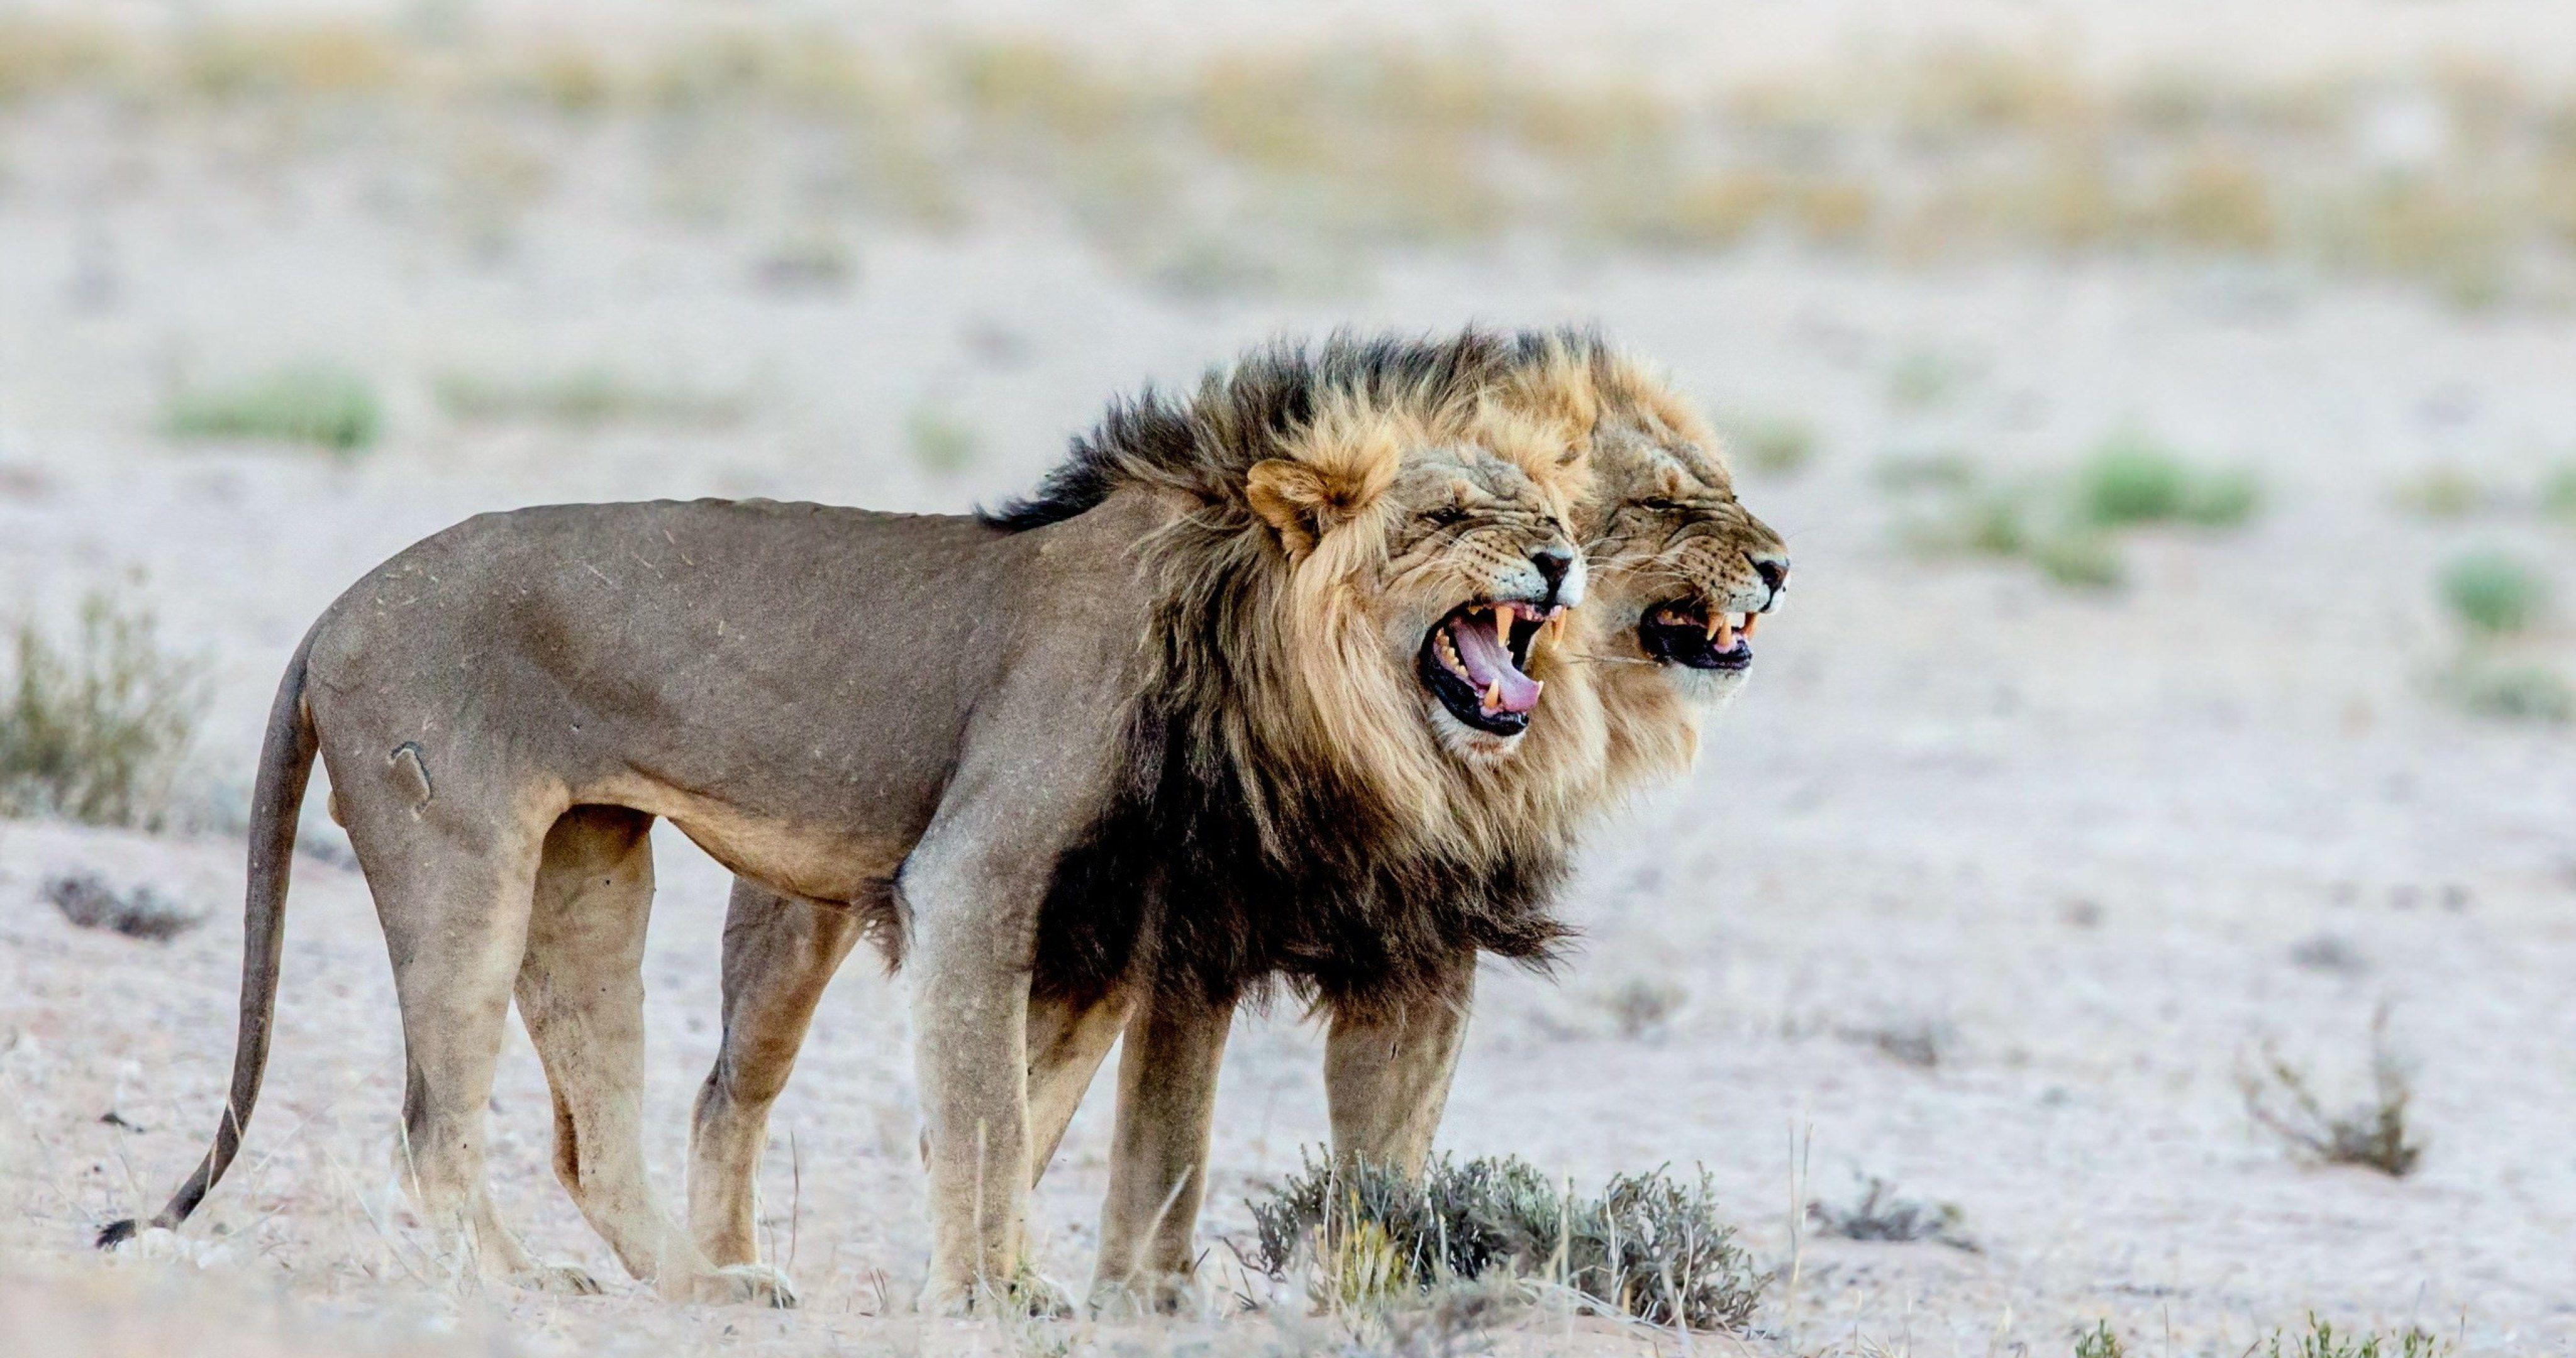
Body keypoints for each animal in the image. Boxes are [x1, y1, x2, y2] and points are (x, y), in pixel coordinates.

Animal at [102, 337, 1609, 1313]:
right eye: (1450, 514)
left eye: (1544, 510)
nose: (1556, 560)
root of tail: (332, 612)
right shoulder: (976, 872)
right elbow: (987, 1110)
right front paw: (996, 1295)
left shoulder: (1109, 928)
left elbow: (1029, 1111)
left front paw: (1010, 1280)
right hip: (457, 854)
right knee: (434, 1120)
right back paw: (508, 1285)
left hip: (588, 865)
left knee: (587, 1128)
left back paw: (704, 1286)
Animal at [684, 329, 1790, 1311]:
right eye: (1661, 503)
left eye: (1721, 489)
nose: (1781, 567)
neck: (1402, 753)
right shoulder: (1194, 928)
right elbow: (1167, 1140)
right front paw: (1147, 1300)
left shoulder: (1419, 944)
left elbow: (1383, 1161)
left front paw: (1382, 1295)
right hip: (800, 924)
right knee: (735, 1094)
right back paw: (726, 1273)